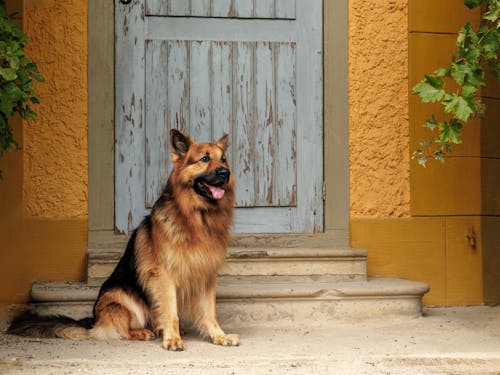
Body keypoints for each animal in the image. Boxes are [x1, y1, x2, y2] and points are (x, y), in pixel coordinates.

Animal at [8, 130, 240, 352]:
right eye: (204, 158)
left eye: (224, 159)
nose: (225, 173)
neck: (197, 218)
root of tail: (93, 320)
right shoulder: (164, 275)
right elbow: (171, 312)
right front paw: (172, 339)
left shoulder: (206, 275)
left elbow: (209, 312)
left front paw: (219, 336)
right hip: (122, 298)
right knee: (122, 330)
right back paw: (145, 332)